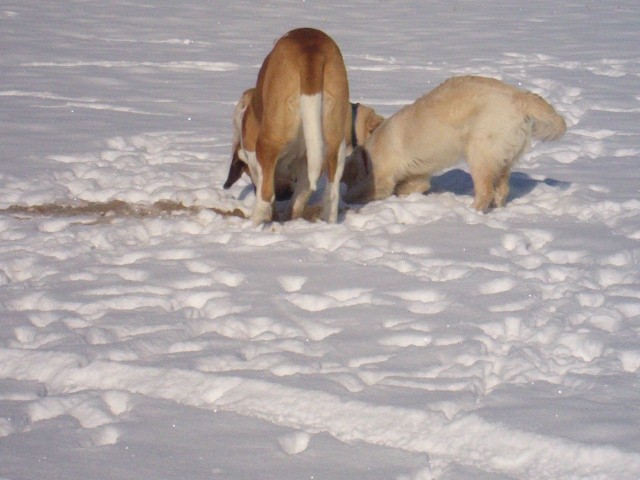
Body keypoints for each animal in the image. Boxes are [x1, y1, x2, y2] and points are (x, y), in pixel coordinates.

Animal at [342, 76, 568, 211]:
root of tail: (519, 96)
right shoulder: (417, 176)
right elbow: (411, 185)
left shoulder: (383, 177)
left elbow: (364, 192)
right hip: (503, 158)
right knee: (502, 189)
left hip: (479, 153)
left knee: (485, 190)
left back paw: (472, 212)